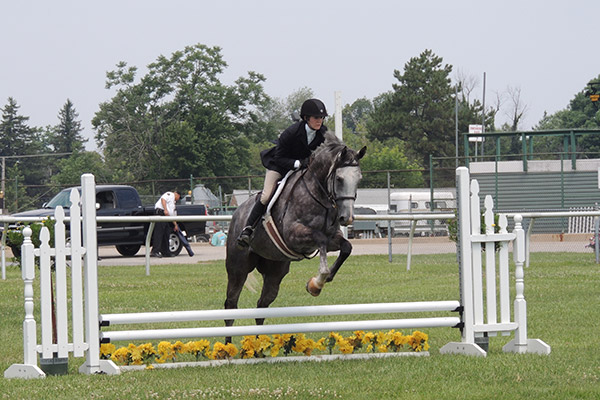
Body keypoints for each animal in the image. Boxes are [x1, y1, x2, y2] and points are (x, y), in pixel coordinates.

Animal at [225, 133, 366, 336]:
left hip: (275, 271)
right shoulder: (294, 236)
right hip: (238, 268)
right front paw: (318, 281)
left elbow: (346, 247)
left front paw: (319, 283)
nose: (346, 218)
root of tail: (236, 213)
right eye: (339, 179)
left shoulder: (332, 238)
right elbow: (320, 239)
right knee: (230, 306)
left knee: (261, 306)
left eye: (359, 179)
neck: (319, 195)